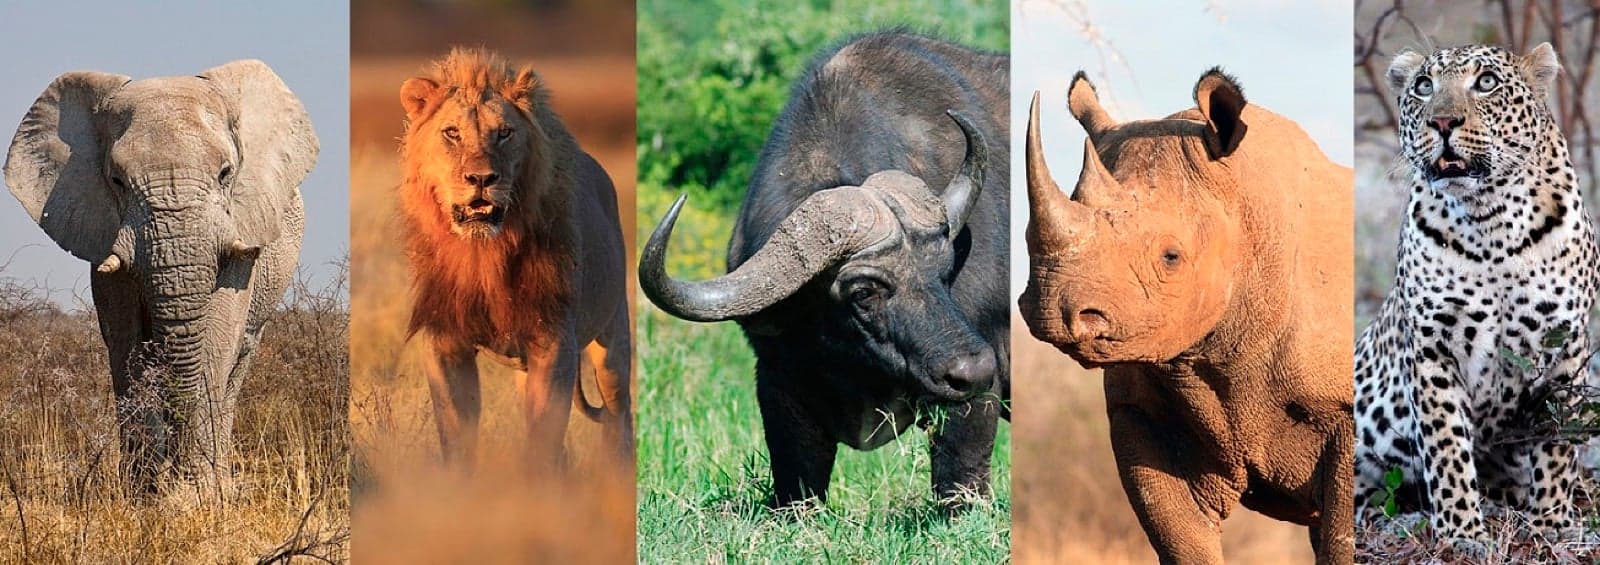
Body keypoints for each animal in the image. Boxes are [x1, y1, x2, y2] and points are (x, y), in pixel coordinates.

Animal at [3, 60, 319, 503]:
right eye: (117, 180)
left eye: (226, 174)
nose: (178, 478)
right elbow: (126, 343)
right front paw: (147, 497)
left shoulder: (240, 232)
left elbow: (216, 340)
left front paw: (199, 497)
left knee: (238, 362)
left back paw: (222, 484)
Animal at [396, 47, 632, 466]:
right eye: (452, 133)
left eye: (504, 133)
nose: (481, 179)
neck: (483, 255)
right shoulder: (444, 341)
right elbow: (456, 435)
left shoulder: (553, 342)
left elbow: (543, 439)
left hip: (612, 339)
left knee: (620, 417)